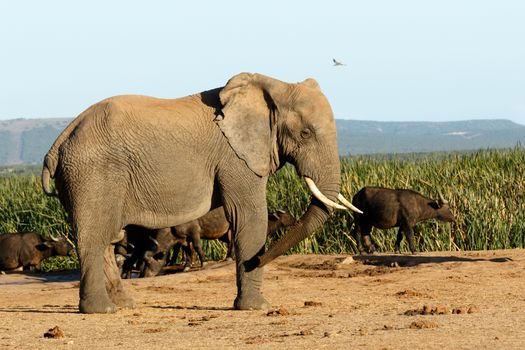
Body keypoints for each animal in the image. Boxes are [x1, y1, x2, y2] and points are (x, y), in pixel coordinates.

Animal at [42, 72, 360, 314]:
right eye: (305, 134)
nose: (257, 260)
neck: (273, 86)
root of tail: (57, 144)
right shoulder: (234, 157)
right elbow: (249, 217)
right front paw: (256, 307)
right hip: (92, 175)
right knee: (94, 237)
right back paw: (101, 310)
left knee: (110, 238)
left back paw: (124, 305)